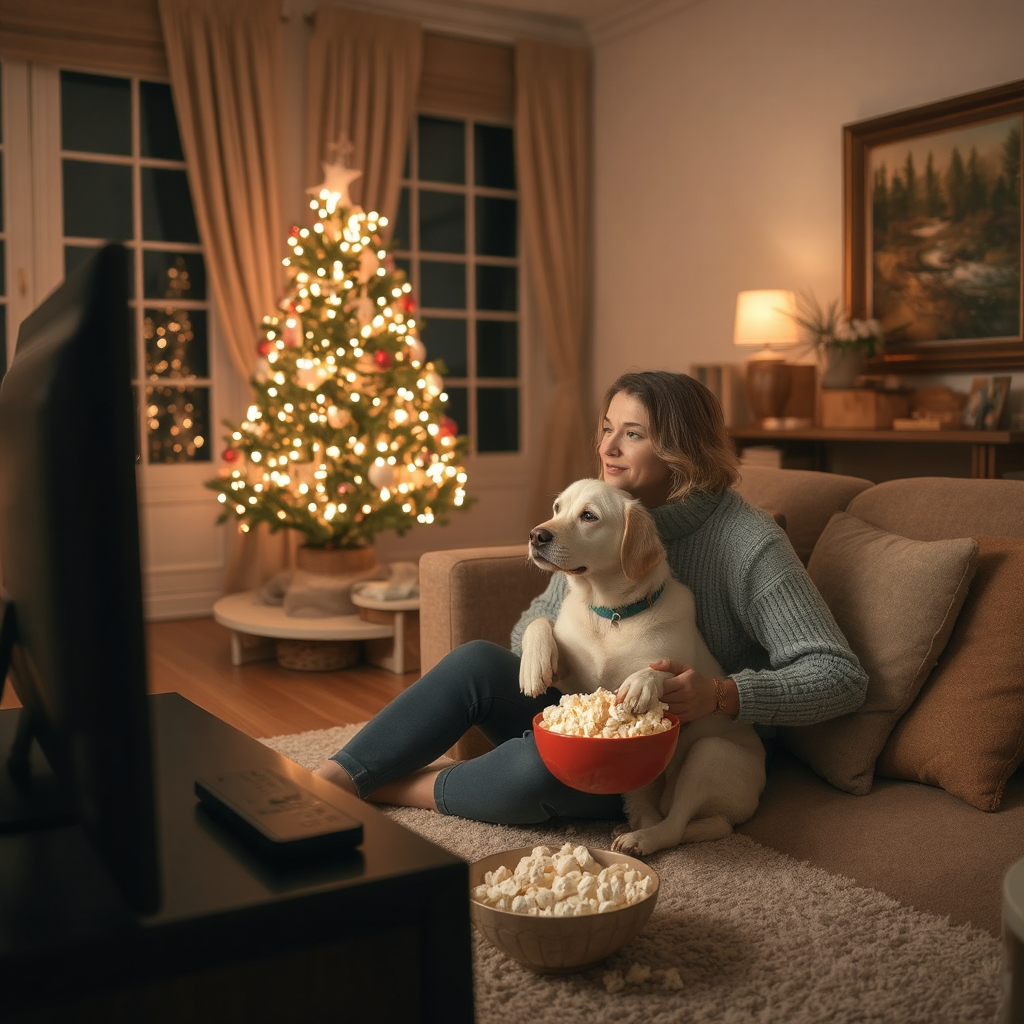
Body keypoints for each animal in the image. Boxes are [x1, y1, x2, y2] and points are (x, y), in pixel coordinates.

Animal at [520, 479, 770, 856]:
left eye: (589, 516)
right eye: (557, 509)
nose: (537, 535)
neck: (611, 615)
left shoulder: (675, 668)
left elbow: (661, 670)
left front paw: (641, 685)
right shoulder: (572, 680)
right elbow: (540, 624)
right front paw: (533, 665)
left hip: (709, 754)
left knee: (675, 826)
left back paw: (641, 838)